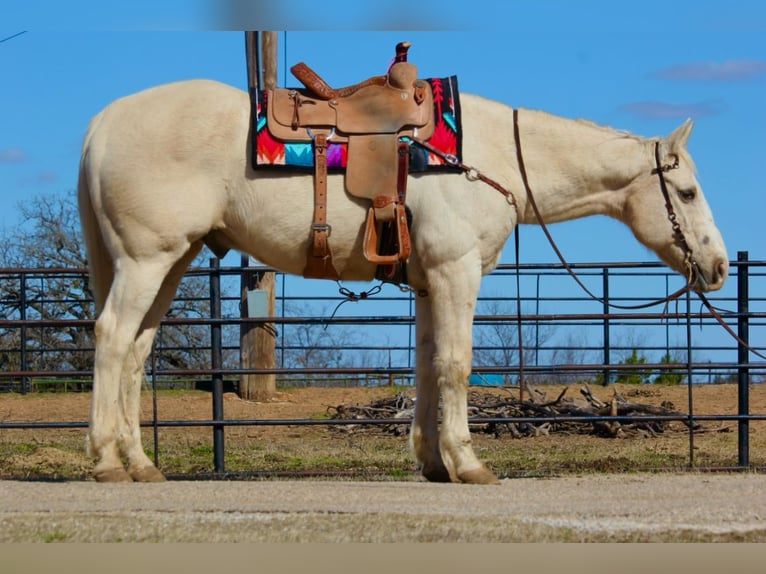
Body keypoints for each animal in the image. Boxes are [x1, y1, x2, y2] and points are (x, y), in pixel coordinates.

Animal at [79, 79, 732, 484]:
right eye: (687, 193)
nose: (721, 267)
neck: (485, 156)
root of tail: (103, 123)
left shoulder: (425, 284)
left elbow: (426, 367)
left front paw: (434, 463)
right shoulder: (455, 271)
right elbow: (456, 365)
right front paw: (469, 463)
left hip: (171, 261)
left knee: (136, 351)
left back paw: (141, 464)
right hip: (147, 260)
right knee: (112, 338)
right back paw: (107, 461)